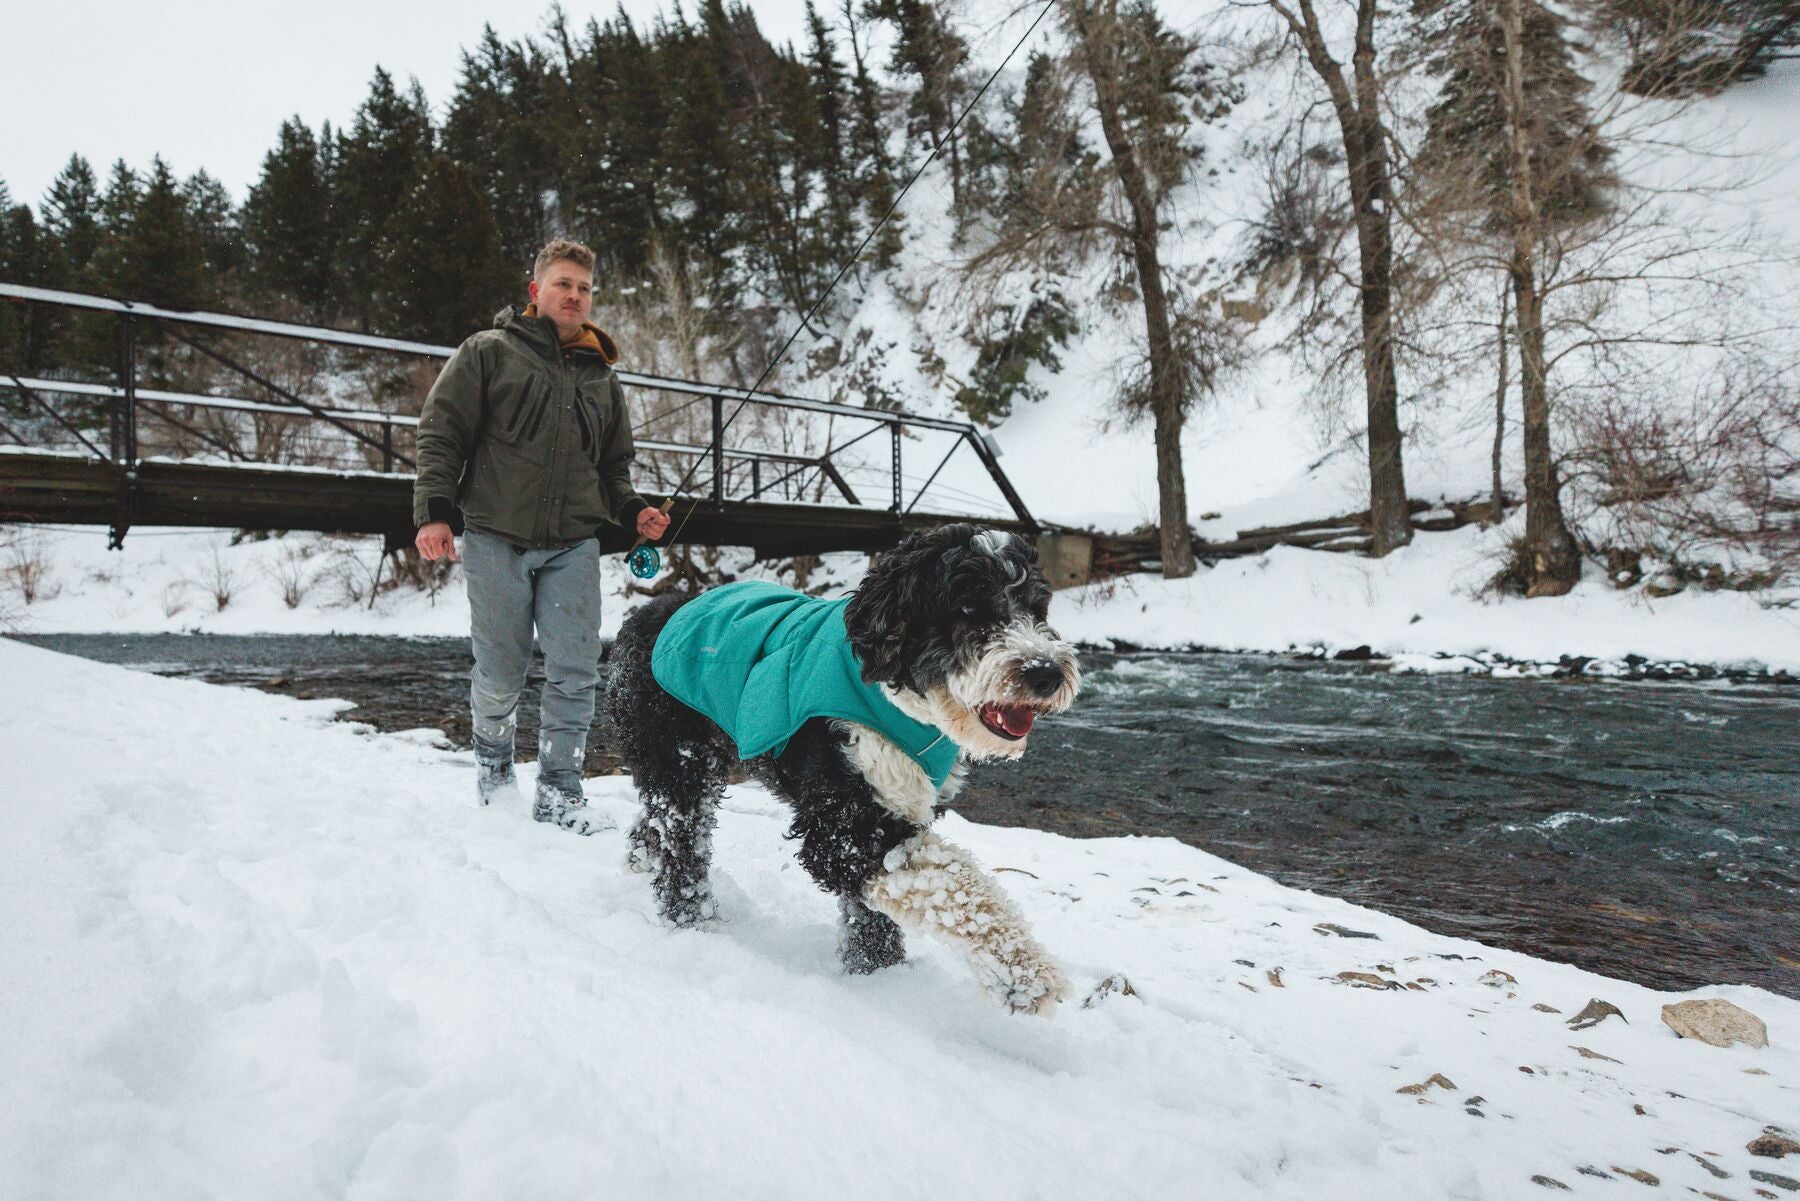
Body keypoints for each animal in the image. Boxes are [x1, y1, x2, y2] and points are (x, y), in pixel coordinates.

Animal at [604, 522, 1080, 1015]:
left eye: (1037, 606)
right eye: (968, 607)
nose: (1045, 673)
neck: (899, 697)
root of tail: (645, 612)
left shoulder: (899, 806)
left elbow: (875, 906)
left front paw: (880, 977)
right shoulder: (840, 828)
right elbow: (953, 880)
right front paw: (1023, 971)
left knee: (656, 825)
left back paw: (640, 856)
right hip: (677, 760)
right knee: (680, 845)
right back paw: (694, 925)